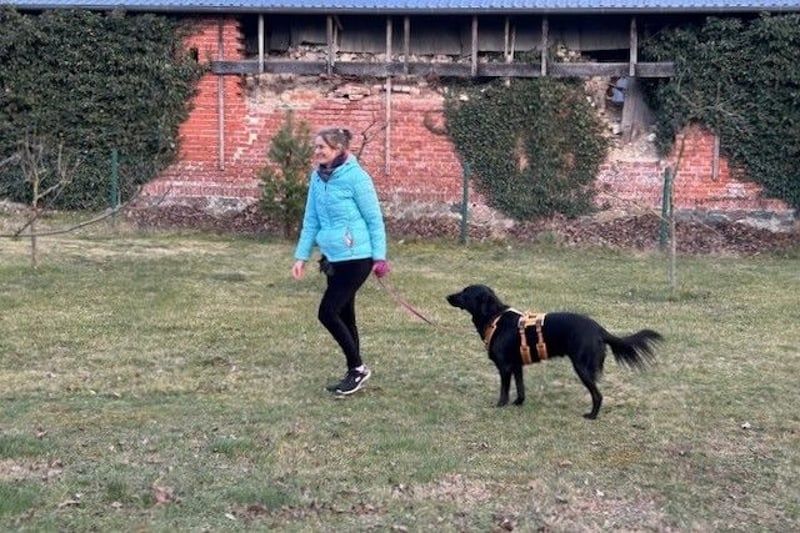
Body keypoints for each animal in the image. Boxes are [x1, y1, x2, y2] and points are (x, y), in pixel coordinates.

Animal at [446, 284, 662, 419]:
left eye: (465, 292)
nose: (447, 296)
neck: (494, 318)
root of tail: (599, 329)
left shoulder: (505, 367)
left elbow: (504, 390)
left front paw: (500, 405)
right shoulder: (517, 366)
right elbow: (521, 388)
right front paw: (518, 403)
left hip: (581, 367)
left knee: (598, 395)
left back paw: (592, 416)